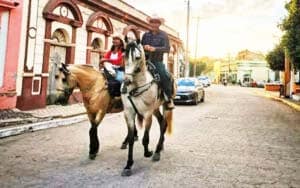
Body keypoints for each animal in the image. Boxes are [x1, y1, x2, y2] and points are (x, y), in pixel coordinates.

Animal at [120, 39, 175, 176]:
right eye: (124, 56)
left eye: (137, 57)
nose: (126, 81)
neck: (136, 86)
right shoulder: (128, 114)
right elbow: (131, 139)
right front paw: (128, 165)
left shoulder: (147, 113)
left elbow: (145, 138)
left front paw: (148, 152)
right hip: (156, 109)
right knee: (161, 123)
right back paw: (160, 146)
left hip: (165, 107)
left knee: (164, 125)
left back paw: (157, 151)